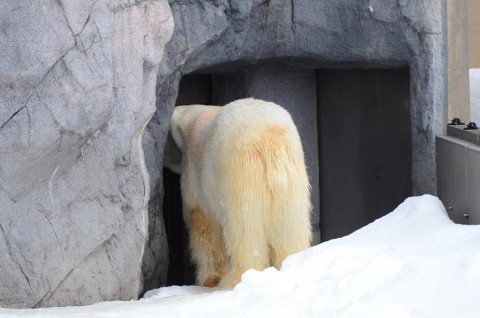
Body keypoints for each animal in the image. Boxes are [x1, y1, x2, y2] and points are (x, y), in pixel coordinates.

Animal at [163, 97, 314, 288]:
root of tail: (270, 139)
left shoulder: (194, 171)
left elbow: (202, 223)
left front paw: (209, 279)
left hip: (239, 172)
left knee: (244, 230)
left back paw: (236, 277)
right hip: (293, 176)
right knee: (290, 228)